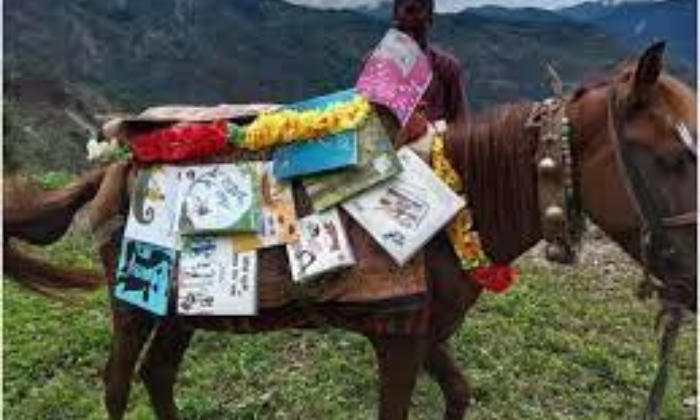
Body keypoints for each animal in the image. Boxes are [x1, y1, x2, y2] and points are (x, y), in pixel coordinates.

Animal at [4, 43, 696, 420]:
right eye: (672, 158)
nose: (690, 281)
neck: (456, 211)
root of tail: (114, 166)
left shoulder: (426, 335)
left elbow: (459, 394)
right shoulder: (399, 342)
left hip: (187, 311)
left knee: (158, 377)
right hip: (134, 308)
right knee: (119, 385)